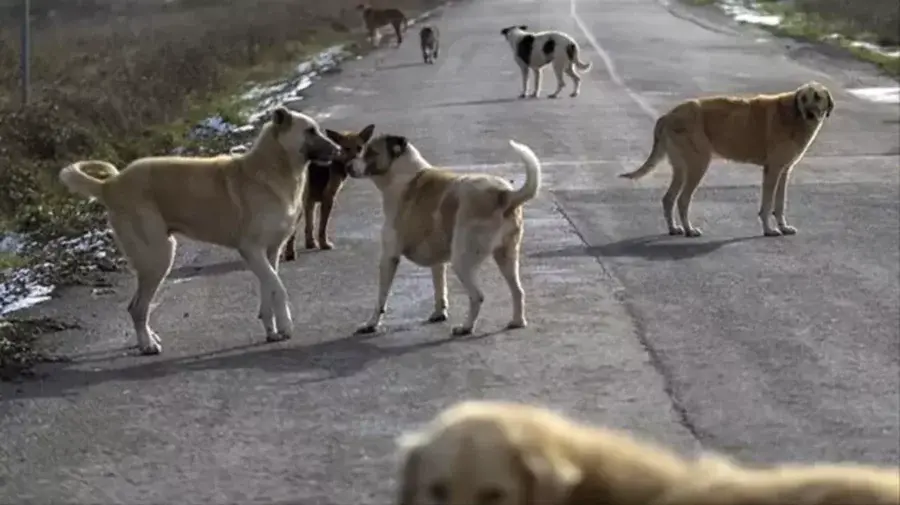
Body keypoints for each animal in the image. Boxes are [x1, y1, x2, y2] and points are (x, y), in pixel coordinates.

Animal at [58, 107, 342, 354]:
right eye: (310, 131)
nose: (339, 150)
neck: (272, 169)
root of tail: (110, 185)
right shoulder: (251, 250)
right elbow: (279, 288)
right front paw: (286, 325)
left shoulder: (269, 252)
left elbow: (269, 289)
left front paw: (272, 330)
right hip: (158, 257)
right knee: (137, 308)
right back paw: (147, 345)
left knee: (137, 306)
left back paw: (148, 339)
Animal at [284, 124, 376, 262]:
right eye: (346, 148)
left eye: (359, 148)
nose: (354, 167)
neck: (337, 160)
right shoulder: (328, 198)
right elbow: (322, 226)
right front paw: (324, 244)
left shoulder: (310, 202)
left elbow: (310, 225)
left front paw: (311, 243)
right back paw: (289, 254)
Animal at [344, 134, 540, 334]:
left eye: (370, 152)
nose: (347, 167)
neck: (403, 174)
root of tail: (504, 194)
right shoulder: (437, 260)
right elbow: (439, 288)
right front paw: (439, 313)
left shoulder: (389, 257)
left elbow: (381, 298)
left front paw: (371, 323)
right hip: (506, 256)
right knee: (518, 291)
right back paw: (517, 321)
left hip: (462, 261)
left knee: (478, 296)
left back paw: (466, 327)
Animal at [624, 81, 832, 239]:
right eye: (803, 98)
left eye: (817, 97)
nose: (810, 114)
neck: (794, 116)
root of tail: (668, 115)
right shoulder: (773, 170)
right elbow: (767, 205)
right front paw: (768, 230)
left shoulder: (783, 171)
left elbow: (779, 204)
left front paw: (783, 226)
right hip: (698, 165)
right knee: (683, 200)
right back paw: (689, 230)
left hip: (682, 168)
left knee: (668, 198)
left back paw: (674, 228)